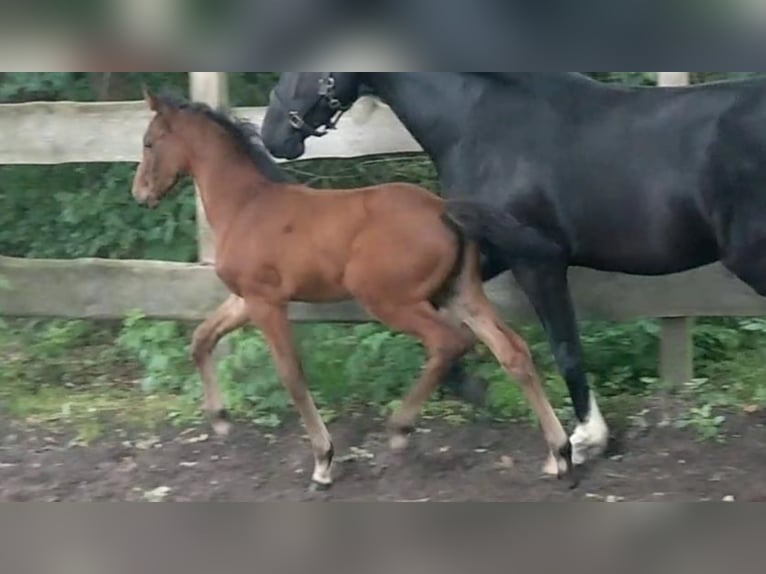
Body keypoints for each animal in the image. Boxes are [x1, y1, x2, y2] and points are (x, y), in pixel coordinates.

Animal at [130, 87, 575, 491]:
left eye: (149, 142)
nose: (140, 193)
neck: (246, 204)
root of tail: (443, 209)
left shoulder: (266, 302)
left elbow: (291, 375)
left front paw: (323, 461)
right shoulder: (244, 300)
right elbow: (201, 339)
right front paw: (220, 420)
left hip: (388, 299)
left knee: (448, 342)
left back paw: (400, 429)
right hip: (460, 293)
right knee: (513, 353)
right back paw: (560, 454)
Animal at [262, 71, 766, 468]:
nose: (272, 135)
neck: (478, 122)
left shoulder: (535, 257)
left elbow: (565, 347)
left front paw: (586, 440)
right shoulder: (483, 255)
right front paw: (468, 389)